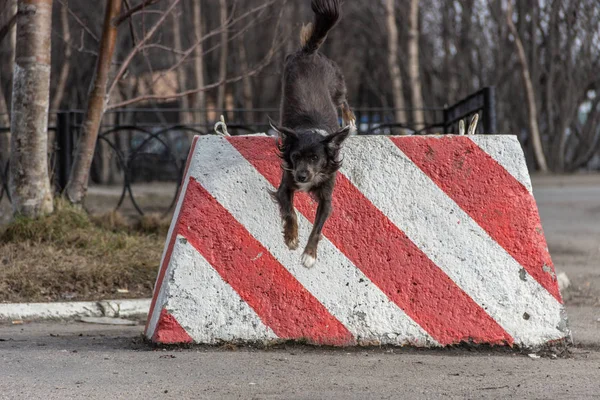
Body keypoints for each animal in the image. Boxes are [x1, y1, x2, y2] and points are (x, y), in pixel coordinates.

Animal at [268, 0, 356, 268]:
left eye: (316, 158)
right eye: (295, 157)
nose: (303, 176)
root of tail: (308, 52)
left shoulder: (326, 198)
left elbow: (318, 227)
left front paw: (309, 254)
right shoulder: (286, 186)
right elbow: (290, 211)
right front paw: (291, 237)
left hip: (335, 86)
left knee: (344, 101)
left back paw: (351, 122)